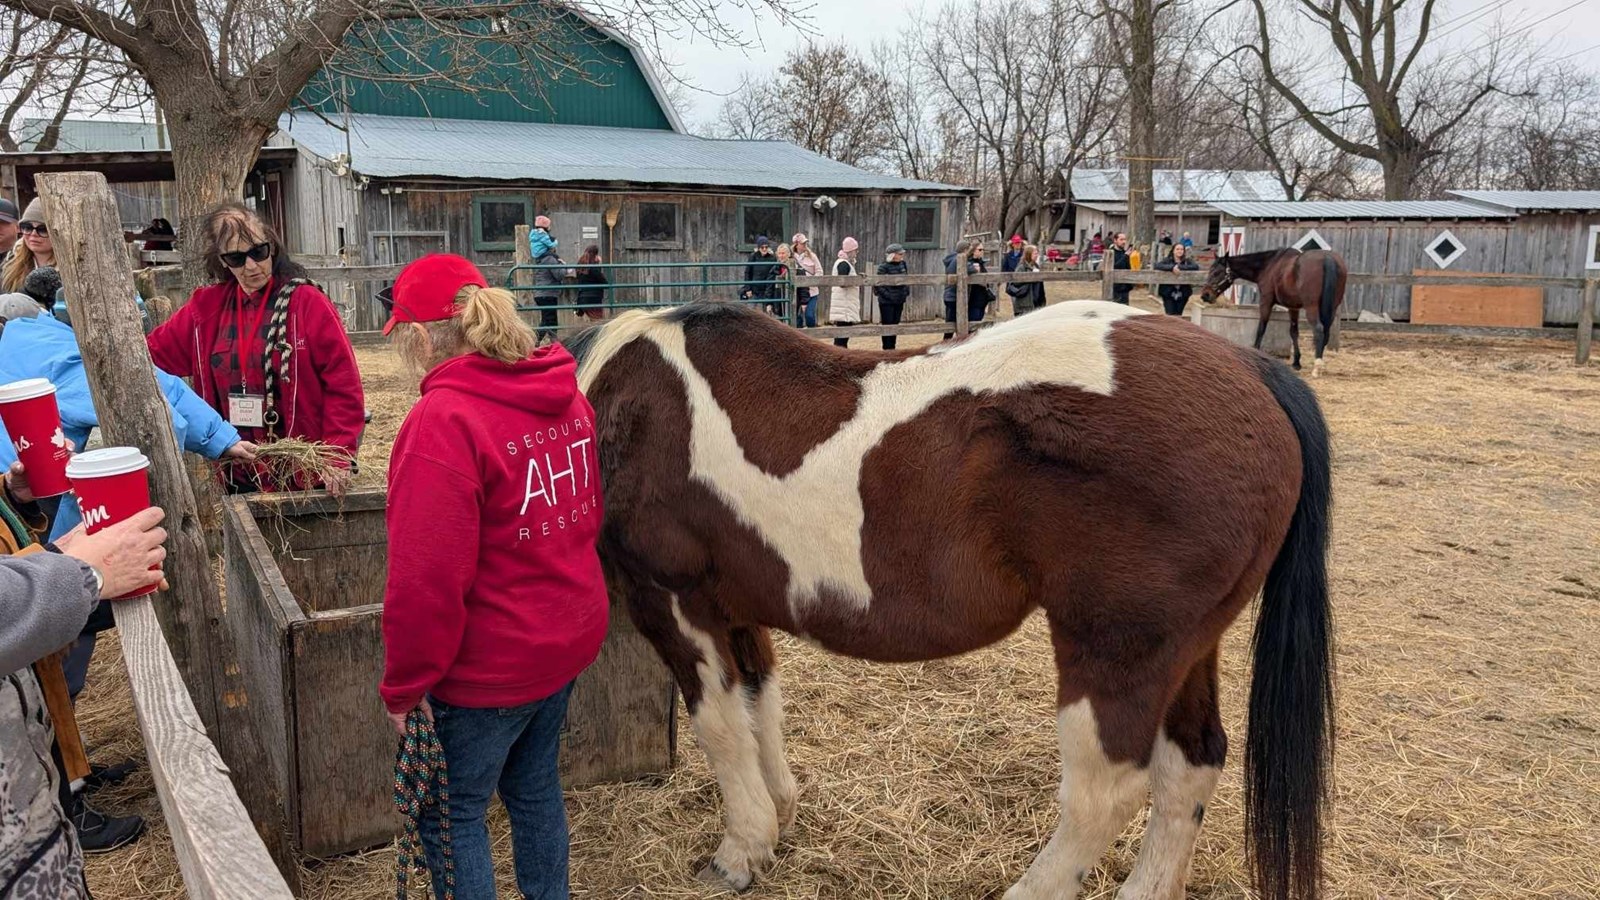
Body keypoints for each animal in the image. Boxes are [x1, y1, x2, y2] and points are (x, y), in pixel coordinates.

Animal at [566, 300, 1335, 900]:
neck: (623, 404)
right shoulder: (740, 610)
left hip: (1117, 653)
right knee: (1191, 767)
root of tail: (1252, 372)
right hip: (1186, 651)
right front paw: (778, 816)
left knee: (1103, 795)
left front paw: (740, 851)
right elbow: (760, 709)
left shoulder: (674, 602)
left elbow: (721, 728)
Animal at [1199, 248, 1347, 377]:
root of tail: (1327, 258)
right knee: (1326, 332)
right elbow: (1294, 332)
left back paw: (1317, 367)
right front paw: (1296, 362)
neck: (1269, 265)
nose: (1205, 295)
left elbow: (1261, 328)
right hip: (1332, 308)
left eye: (1216, 272)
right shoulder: (1293, 308)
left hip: (1312, 308)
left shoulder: (1266, 301)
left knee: (1319, 330)